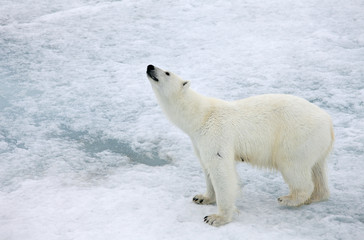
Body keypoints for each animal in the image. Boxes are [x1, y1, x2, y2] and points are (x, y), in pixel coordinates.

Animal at [146, 64, 334, 226]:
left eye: (167, 72)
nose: (150, 66)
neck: (201, 116)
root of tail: (328, 122)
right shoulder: (198, 141)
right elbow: (207, 167)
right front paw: (202, 197)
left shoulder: (216, 134)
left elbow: (221, 170)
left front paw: (216, 218)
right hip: (316, 144)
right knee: (317, 170)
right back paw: (315, 196)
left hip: (296, 136)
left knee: (293, 166)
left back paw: (289, 198)